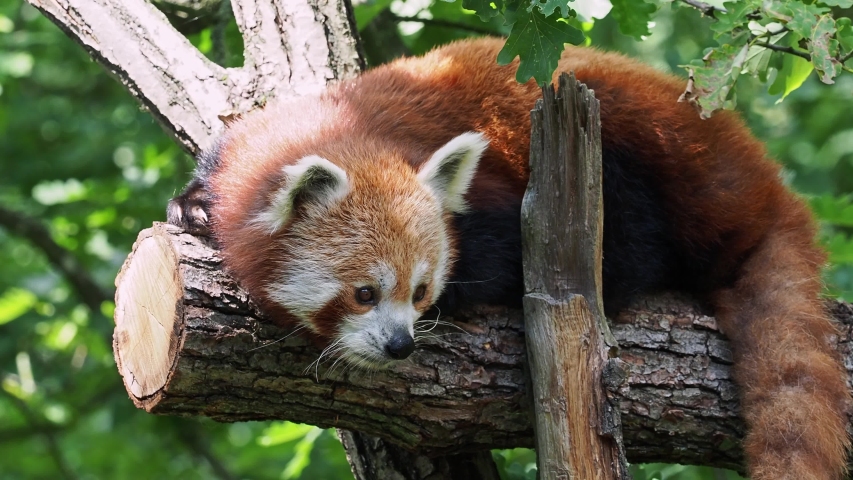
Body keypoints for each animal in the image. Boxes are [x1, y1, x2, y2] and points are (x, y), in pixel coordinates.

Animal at [168, 38, 852, 480]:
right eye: (364, 293)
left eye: (419, 291)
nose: (401, 346)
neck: (342, 127)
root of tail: (762, 182)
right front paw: (190, 209)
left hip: (646, 145)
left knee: (639, 237)